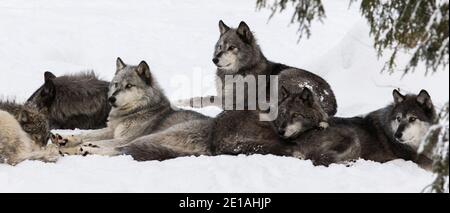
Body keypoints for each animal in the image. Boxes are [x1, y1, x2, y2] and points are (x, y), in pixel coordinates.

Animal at [52, 57, 211, 157]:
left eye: (129, 86)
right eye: (116, 84)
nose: (111, 99)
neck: (138, 110)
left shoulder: (123, 138)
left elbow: (92, 140)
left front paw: (71, 144)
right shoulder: (112, 131)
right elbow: (84, 134)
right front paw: (65, 138)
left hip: (148, 137)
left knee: (120, 150)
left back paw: (84, 150)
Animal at [177, 19, 338, 115]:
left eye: (232, 47)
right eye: (220, 47)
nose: (214, 60)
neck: (241, 70)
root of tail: (331, 102)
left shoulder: (231, 101)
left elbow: (205, 98)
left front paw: (182, 102)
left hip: (283, 76)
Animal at [278, 89, 436, 169]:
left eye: (412, 119)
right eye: (398, 118)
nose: (397, 135)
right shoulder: (414, 158)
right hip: (351, 137)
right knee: (320, 160)